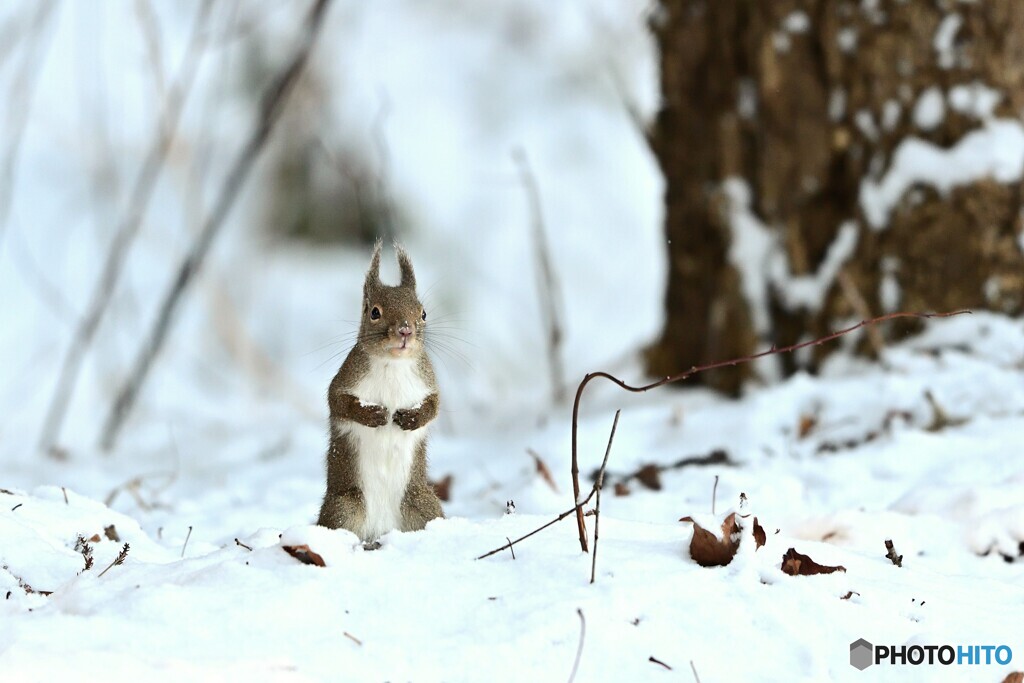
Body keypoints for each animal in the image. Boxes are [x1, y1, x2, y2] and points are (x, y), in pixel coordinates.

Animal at [315, 237, 444, 540]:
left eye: (423, 313)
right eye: (374, 312)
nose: (406, 330)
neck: (392, 364)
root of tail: (383, 530)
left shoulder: (427, 380)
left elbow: (434, 406)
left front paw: (412, 418)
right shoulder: (347, 377)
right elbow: (338, 402)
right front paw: (373, 415)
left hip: (422, 503)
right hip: (344, 508)